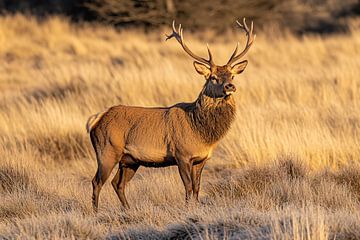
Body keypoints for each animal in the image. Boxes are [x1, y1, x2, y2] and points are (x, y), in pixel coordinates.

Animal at [87, 18, 256, 210]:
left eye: (232, 76)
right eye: (212, 77)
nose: (230, 86)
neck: (201, 132)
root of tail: (96, 120)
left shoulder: (202, 159)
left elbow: (197, 187)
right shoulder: (181, 154)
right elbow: (188, 186)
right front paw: (188, 209)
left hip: (129, 160)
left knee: (118, 183)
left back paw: (127, 210)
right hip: (106, 151)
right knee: (97, 182)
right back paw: (95, 212)